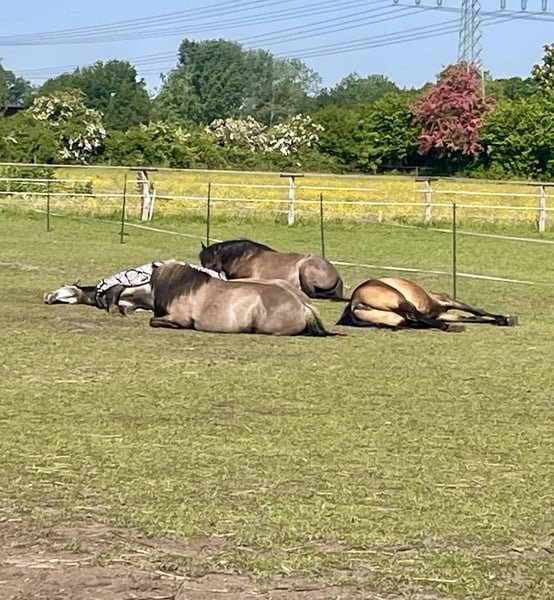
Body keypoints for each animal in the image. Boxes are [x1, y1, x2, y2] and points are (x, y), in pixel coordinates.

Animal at [336, 277, 517, 332]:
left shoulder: (443, 313)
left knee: (413, 320)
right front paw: (506, 318)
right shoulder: (446, 300)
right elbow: (477, 311)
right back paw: (450, 327)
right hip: (400, 300)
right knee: (416, 315)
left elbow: (470, 317)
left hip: (397, 318)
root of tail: (355, 302)